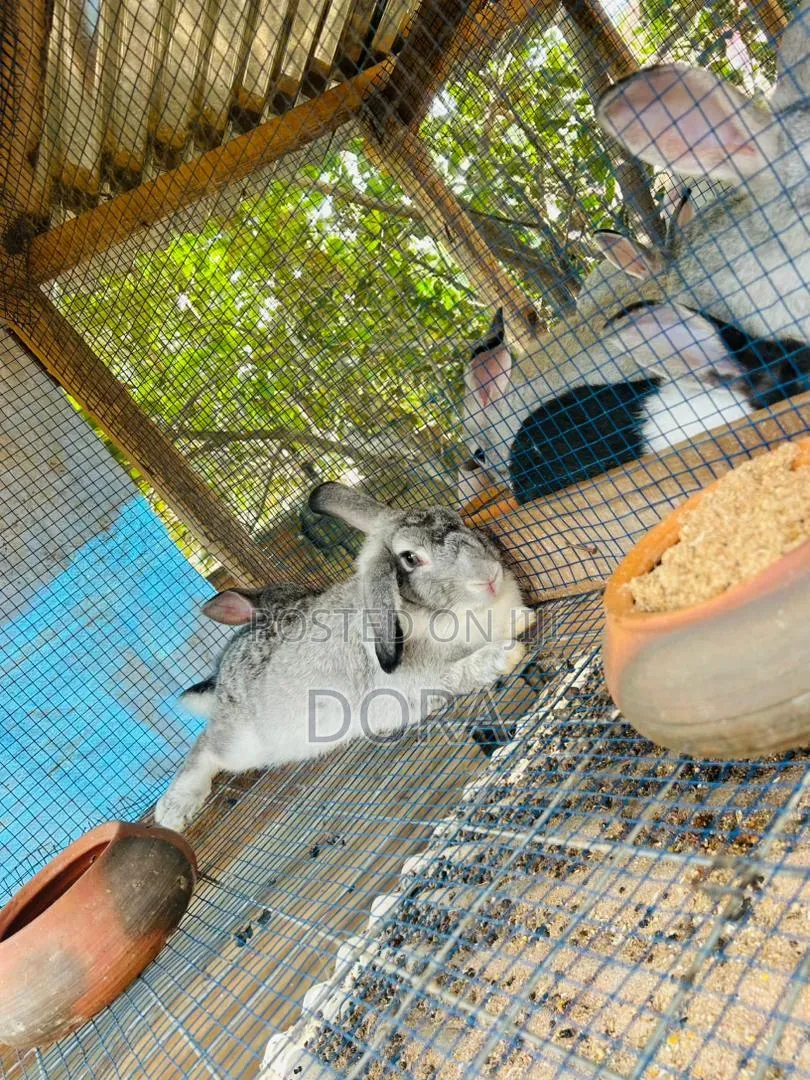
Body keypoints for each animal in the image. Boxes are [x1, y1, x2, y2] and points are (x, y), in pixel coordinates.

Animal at [154, 484, 536, 832]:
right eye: (410, 558)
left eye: (456, 519)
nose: (488, 575)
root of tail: (221, 681)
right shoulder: (412, 679)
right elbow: (456, 673)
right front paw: (505, 655)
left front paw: (523, 618)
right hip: (242, 744)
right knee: (204, 746)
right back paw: (173, 810)